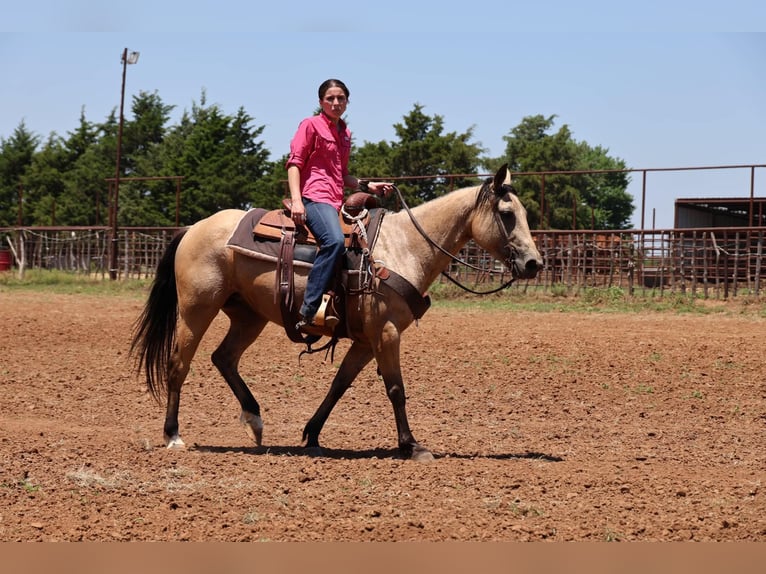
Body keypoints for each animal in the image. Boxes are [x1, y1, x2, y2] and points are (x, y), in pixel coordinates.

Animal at [131, 164, 543, 461]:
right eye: (507, 214)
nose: (534, 263)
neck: (404, 247)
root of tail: (193, 227)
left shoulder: (365, 339)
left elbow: (339, 385)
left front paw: (312, 434)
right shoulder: (386, 332)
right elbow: (396, 389)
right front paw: (411, 445)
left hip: (249, 315)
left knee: (224, 358)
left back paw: (254, 420)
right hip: (197, 308)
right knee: (178, 364)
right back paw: (173, 435)